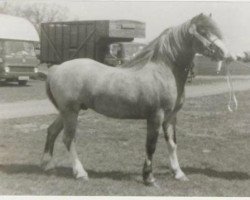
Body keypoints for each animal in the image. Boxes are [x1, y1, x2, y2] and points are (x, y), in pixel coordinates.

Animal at [40, 13, 230, 185]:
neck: (164, 71)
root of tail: (56, 69)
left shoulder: (170, 117)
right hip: (70, 112)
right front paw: (149, 178)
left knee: (52, 131)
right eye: (203, 32)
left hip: (66, 112)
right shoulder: (156, 116)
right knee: (68, 138)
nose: (225, 53)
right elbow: (151, 146)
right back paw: (80, 173)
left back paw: (48, 165)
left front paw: (179, 173)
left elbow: (172, 144)